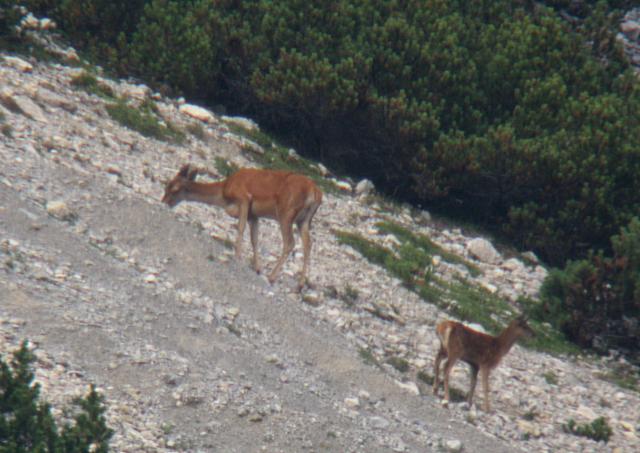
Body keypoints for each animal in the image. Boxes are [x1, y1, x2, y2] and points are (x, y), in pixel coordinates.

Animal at [162, 163, 322, 290]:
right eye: (167, 185)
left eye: (173, 188)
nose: (164, 201)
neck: (224, 193)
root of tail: (315, 192)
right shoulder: (254, 215)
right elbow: (254, 239)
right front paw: (257, 268)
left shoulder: (243, 198)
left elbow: (240, 228)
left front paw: (238, 256)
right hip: (304, 221)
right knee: (308, 244)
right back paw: (299, 285)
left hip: (286, 212)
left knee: (290, 243)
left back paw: (272, 276)